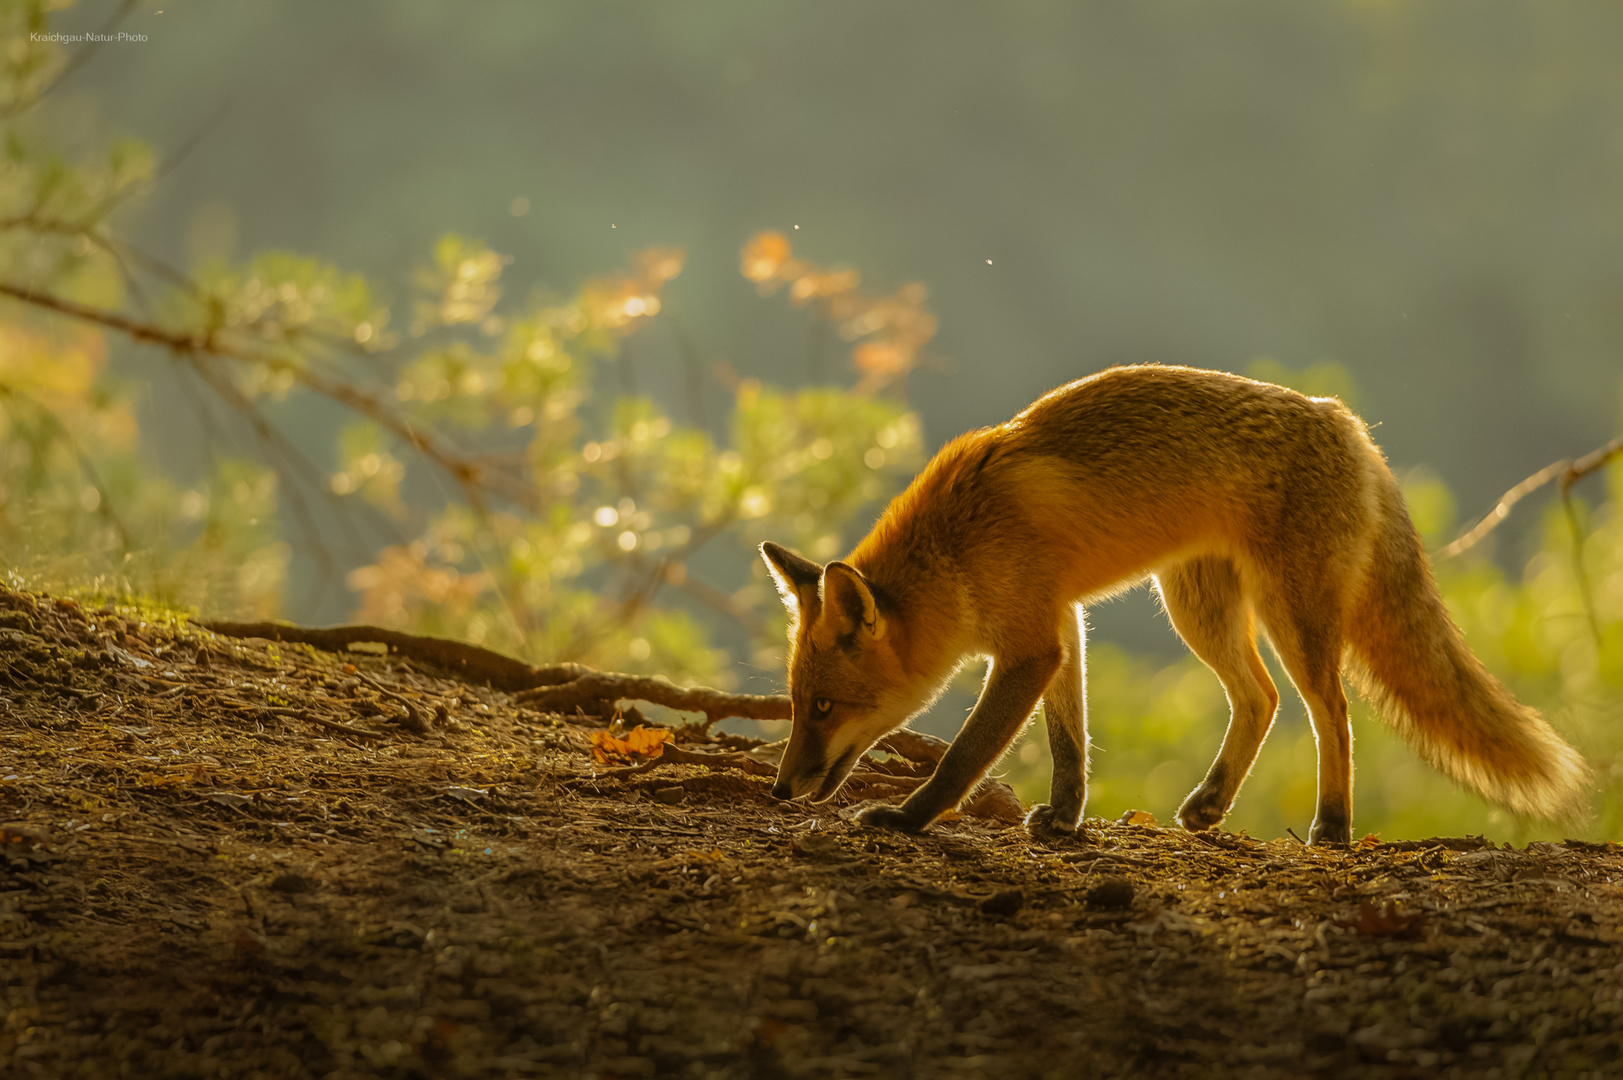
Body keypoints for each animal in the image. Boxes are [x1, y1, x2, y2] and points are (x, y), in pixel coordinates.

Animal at [766, 362, 1590, 844]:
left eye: (824, 708)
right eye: (798, 703)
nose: (778, 790)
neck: (956, 545)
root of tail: (1344, 419)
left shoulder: (1029, 644)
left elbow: (966, 757)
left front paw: (907, 818)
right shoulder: (1059, 625)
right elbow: (1070, 742)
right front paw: (1065, 819)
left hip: (1291, 615)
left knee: (1331, 713)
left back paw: (1331, 826)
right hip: (1198, 608)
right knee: (1260, 699)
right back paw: (1211, 804)